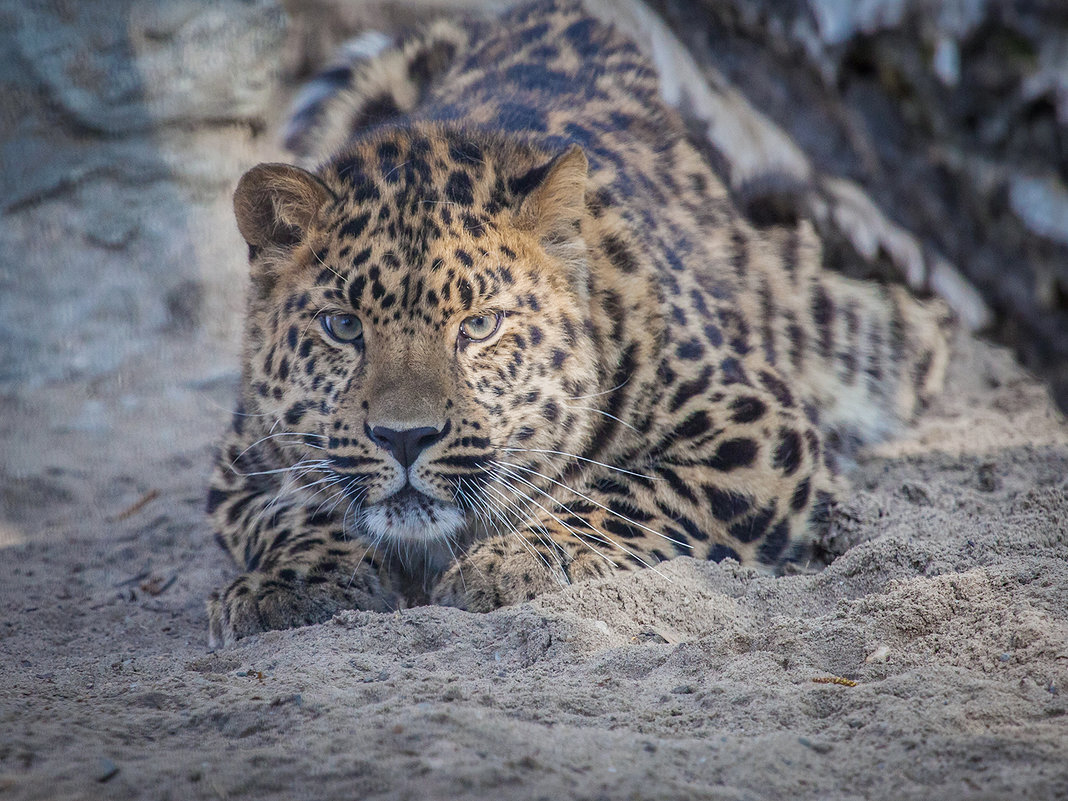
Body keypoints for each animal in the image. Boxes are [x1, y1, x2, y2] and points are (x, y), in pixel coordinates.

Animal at [203, 0, 948, 645]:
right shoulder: (241, 459)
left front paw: (513, 560)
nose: (405, 438)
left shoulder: (753, 426)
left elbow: (625, 494)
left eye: (480, 325)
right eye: (342, 326)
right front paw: (291, 581)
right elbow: (294, 506)